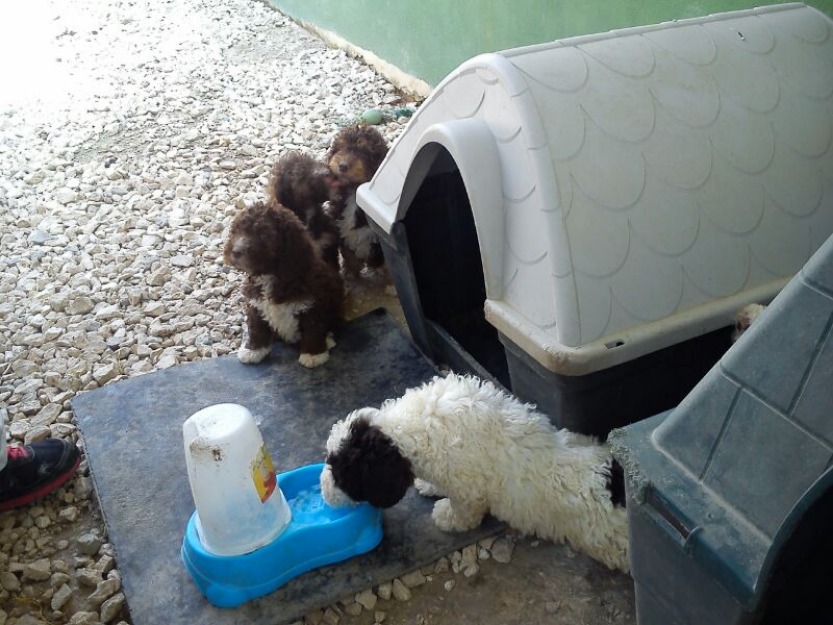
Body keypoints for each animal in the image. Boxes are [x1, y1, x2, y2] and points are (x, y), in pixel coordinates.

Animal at [223, 201, 342, 366]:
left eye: (264, 234)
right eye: (236, 231)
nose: (235, 252)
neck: (271, 275)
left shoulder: (314, 305)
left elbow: (313, 329)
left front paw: (313, 355)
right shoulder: (255, 303)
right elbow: (256, 326)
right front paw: (253, 350)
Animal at [322, 372, 628, 572]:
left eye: (342, 475)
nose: (324, 495)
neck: (403, 431)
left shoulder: (467, 491)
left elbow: (464, 513)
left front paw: (445, 515)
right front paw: (429, 486)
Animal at [324, 124, 390, 276]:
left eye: (364, 152)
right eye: (340, 148)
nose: (342, 166)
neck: (353, 193)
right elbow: (350, 258)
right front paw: (350, 273)